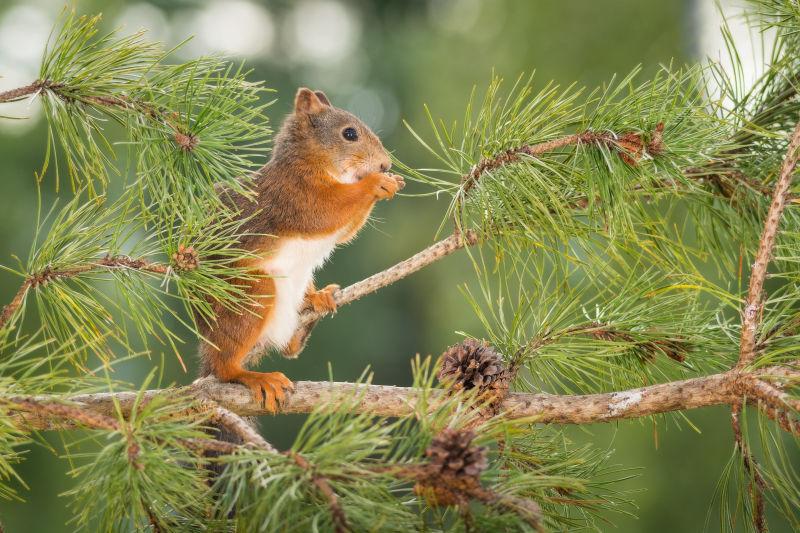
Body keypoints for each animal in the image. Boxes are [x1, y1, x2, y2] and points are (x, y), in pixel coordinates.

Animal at [197, 89, 404, 410]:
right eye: (350, 133)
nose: (386, 165)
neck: (311, 162)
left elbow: (344, 232)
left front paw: (392, 183)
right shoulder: (295, 196)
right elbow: (326, 212)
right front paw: (375, 183)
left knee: (289, 349)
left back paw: (316, 302)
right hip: (250, 294)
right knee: (225, 367)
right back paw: (255, 377)